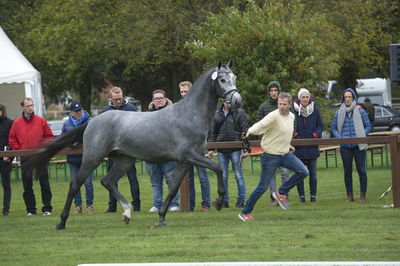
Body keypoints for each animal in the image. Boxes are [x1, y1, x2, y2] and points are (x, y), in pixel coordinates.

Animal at [28, 61, 242, 230]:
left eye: (234, 77)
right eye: (222, 80)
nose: (237, 101)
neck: (190, 114)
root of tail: (92, 121)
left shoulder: (185, 161)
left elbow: (173, 188)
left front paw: (161, 218)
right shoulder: (190, 156)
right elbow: (218, 168)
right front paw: (219, 202)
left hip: (124, 161)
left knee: (107, 181)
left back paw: (127, 213)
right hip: (92, 159)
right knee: (75, 185)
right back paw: (61, 222)